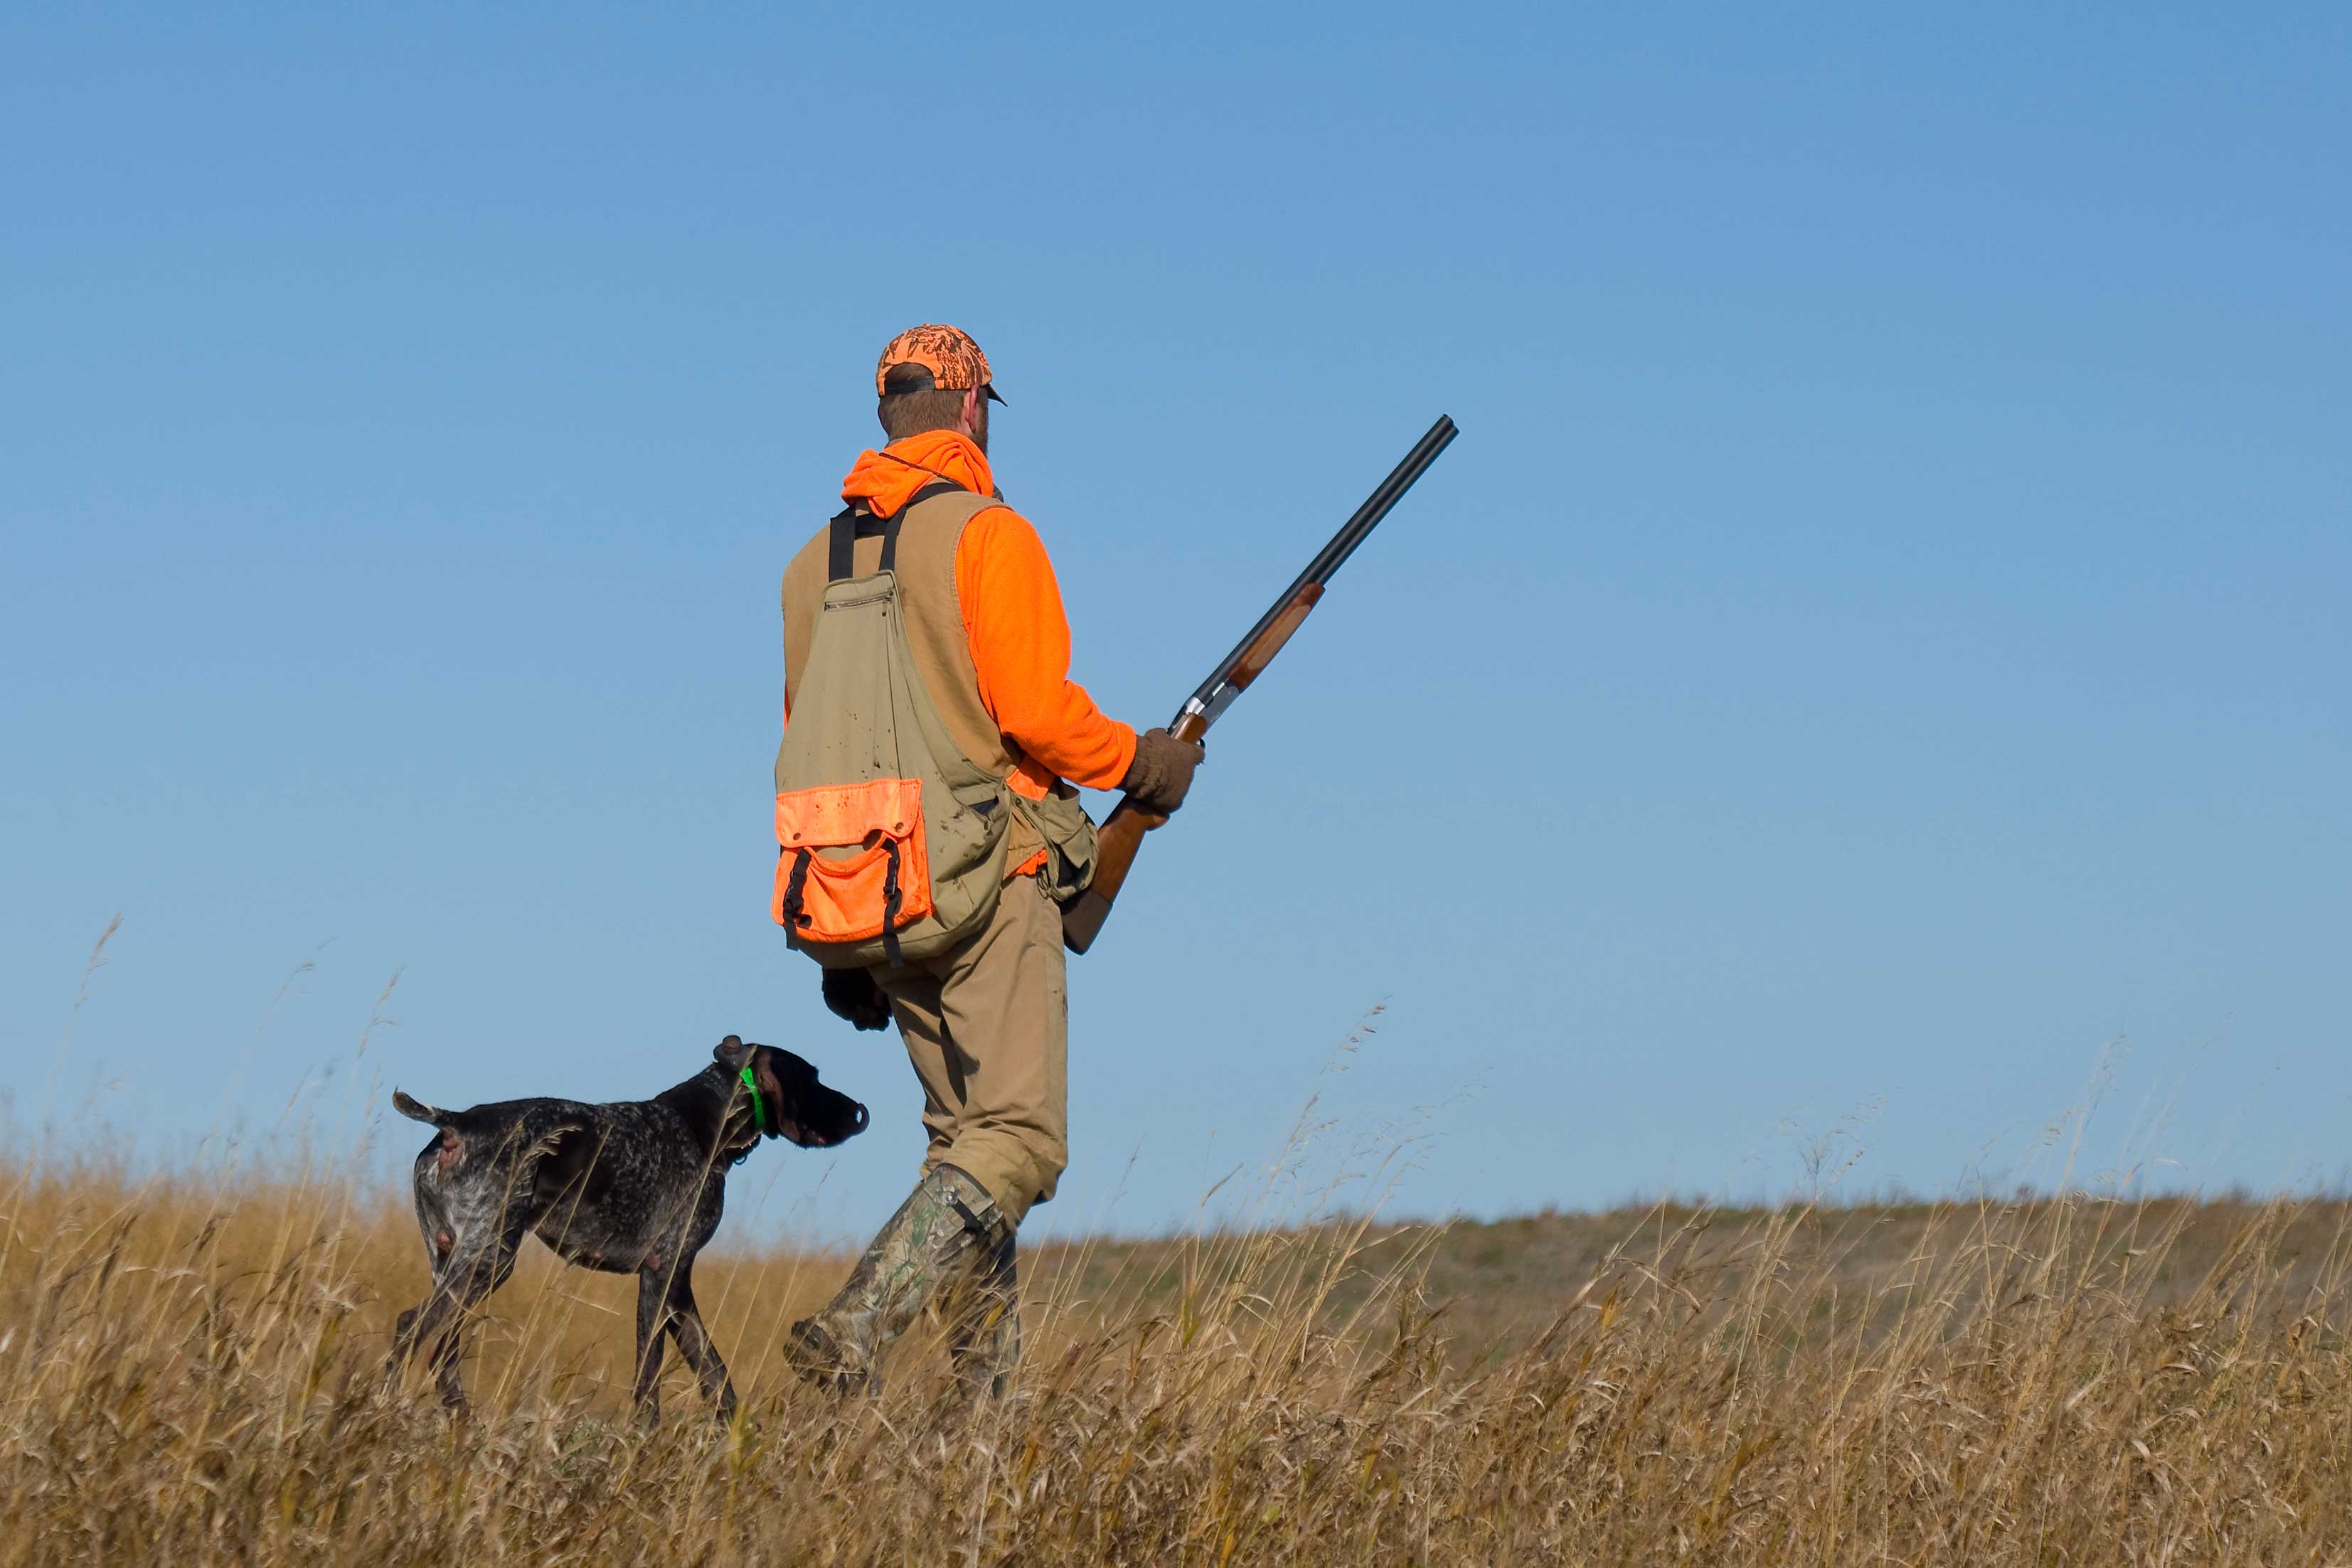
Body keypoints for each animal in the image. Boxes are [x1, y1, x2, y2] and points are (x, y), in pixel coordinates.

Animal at [381, 1029, 870, 1419]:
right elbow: (648, 1380)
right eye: (813, 1079)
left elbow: (715, 1376)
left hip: (456, 1261)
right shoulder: (661, 1272)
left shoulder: (679, 1286)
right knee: (413, 1327)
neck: (705, 1127)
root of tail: (455, 1123)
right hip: (488, 1259)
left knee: (443, 1352)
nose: (859, 1111)